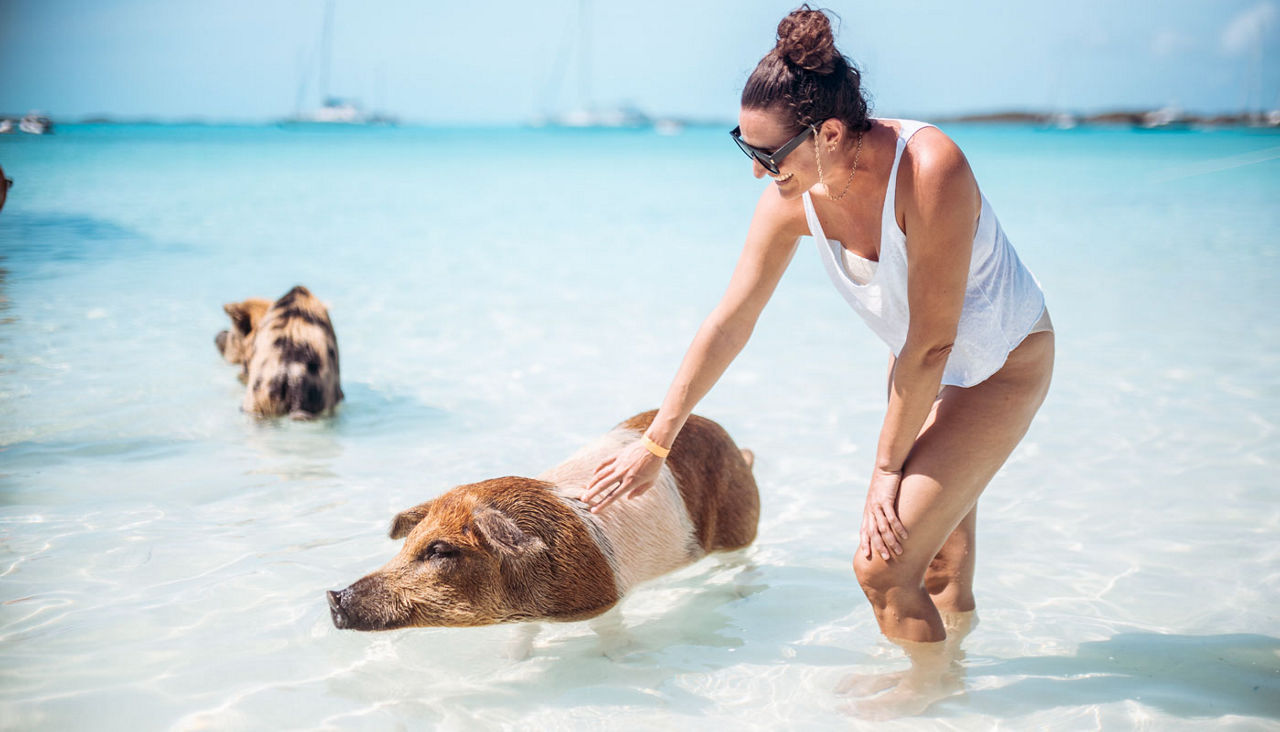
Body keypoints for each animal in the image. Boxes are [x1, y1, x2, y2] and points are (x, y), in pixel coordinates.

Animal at [325, 409, 757, 632]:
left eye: (440, 550)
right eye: (409, 541)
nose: (333, 595)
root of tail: (737, 448)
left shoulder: (604, 601)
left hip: (739, 524)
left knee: (742, 562)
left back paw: (740, 597)